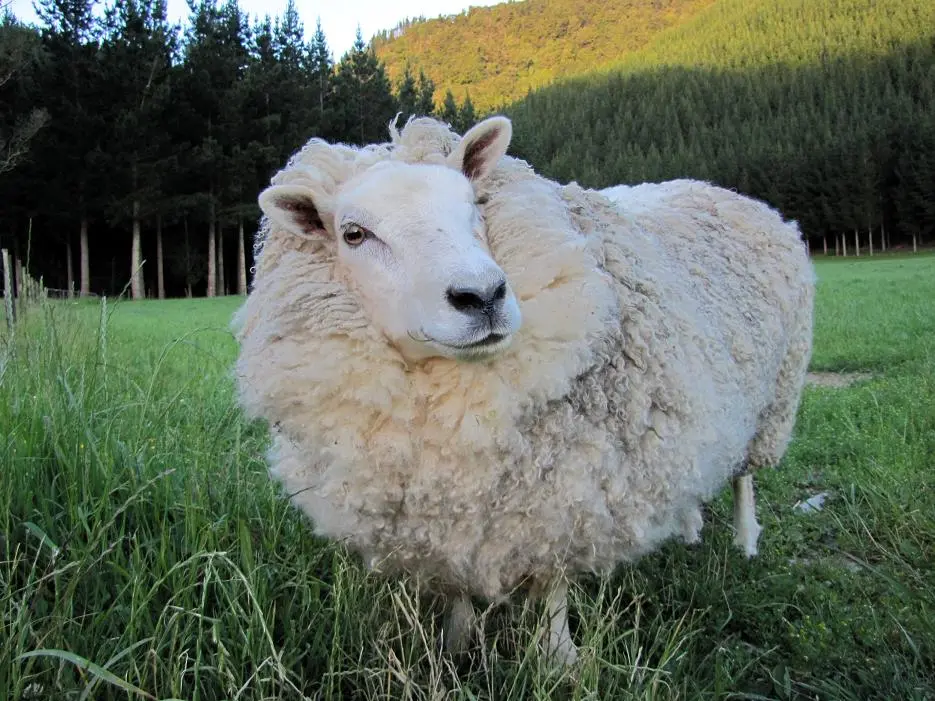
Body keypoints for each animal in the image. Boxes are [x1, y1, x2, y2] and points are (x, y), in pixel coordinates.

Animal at [231, 114, 815, 666]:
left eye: (475, 204)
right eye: (353, 234)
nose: (483, 295)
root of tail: (714, 187)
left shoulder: (564, 492)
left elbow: (551, 579)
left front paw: (559, 657)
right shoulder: (438, 512)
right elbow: (454, 579)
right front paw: (458, 644)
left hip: (772, 400)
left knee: (743, 477)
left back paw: (745, 541)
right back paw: (690, 526)